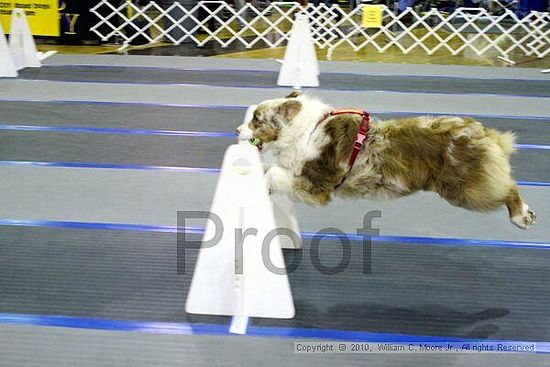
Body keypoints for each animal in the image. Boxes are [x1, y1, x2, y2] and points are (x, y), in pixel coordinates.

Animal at [236, 91, 540, 230]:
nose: (237, 130)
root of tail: (484, 132)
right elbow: (268, 168)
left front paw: (266, 185)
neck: (306, 129)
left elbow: (274, 172)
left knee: (507, 187)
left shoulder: (317, 183)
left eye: (256, 120)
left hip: (467, 188)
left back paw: (520, 216)